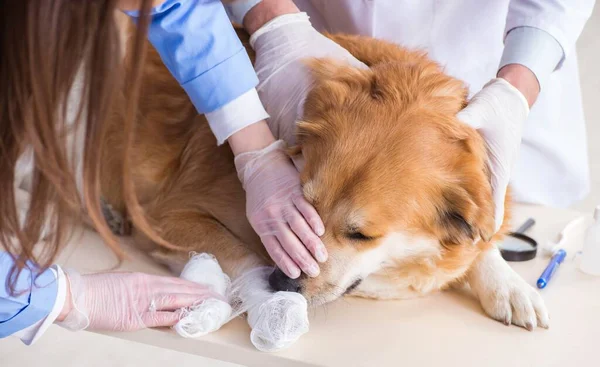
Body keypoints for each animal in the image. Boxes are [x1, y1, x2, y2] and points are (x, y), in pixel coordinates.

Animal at [102, 21, 548, 334]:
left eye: (361, 235)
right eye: (303, 205)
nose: (281, 280)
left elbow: (482, 241)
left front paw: (508, 284)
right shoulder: (172, 214)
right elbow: (240, 254)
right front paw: (270, 303)